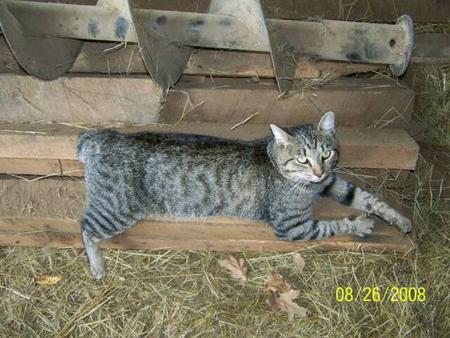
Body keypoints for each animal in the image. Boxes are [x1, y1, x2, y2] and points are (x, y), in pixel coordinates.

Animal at [78, 112, 412, 278]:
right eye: (302, 159)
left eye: (326, 154)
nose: (317, 171)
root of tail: (104, 136)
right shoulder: (294, 226)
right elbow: (333, 224)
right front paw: (360, 224)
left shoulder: (330, 182)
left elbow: (367, 197)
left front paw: (400, 219)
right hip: (116, 209)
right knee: (85, 227)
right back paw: (97, 265)